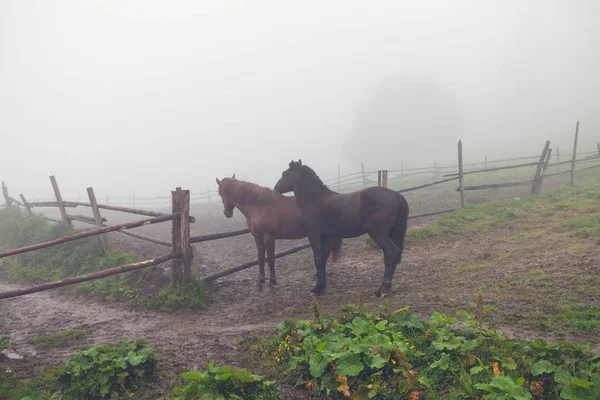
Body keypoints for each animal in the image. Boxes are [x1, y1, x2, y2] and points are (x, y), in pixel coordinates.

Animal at [274, 160, 410, 296]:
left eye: (285, 174)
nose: (276, 189)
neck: (315, 200)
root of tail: (396, 195)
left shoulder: (314, 235)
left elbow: (318, 258)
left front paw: (317, 288)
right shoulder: (325, 236)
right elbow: (323, 258)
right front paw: (322, 286)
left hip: (379, 234)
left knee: (392, 252)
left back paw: (383, 289)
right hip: (389, 233)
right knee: (388, 257)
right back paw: (383, 288)